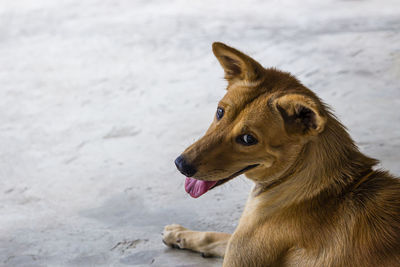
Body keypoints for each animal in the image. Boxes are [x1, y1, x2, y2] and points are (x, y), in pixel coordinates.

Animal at [162, 43, 400, 266]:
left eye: (248, 139)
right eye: (220, 112)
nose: (180, 165)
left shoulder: (240, 255)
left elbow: (221, 238)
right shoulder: (238, 243)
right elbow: (216, 236)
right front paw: (179, 234)